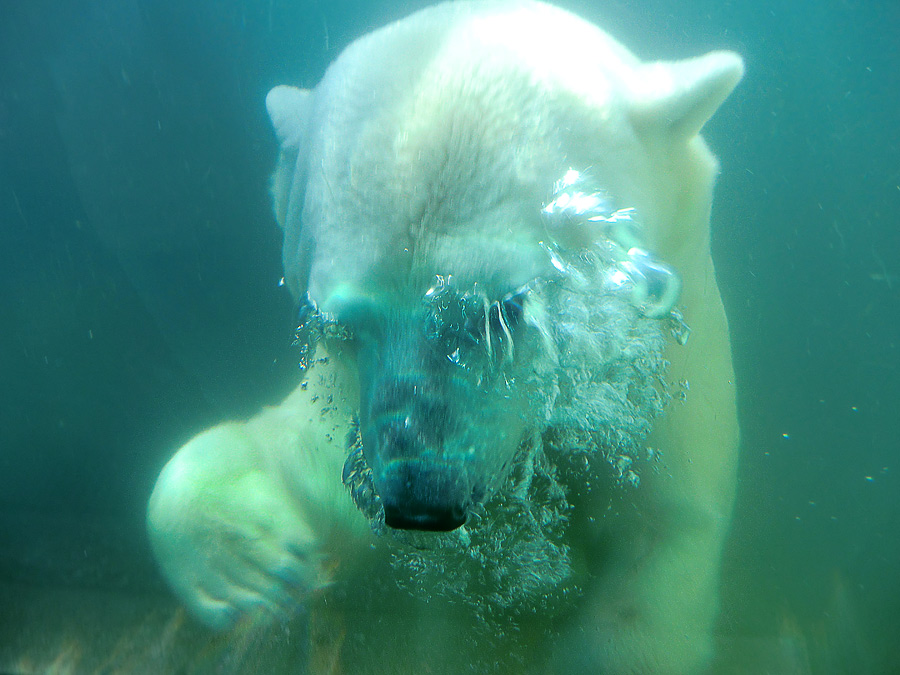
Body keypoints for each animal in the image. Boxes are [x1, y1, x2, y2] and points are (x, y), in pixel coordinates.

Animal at [146, 2, 740, 672]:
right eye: (340, 323)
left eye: (502, 311)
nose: (420, 500)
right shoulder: (349, 403)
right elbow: (309, 466)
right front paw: (254, 563)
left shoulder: (661, 388)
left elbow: (657, 541)